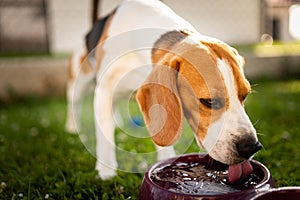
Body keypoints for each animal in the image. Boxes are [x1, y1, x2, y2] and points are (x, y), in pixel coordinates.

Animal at [64, 0, 262, 181]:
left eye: (244, 96)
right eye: (209, 101)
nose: (251, 146)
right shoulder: (104, 88)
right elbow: (104, 134)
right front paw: (106, 171)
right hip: (80, 80)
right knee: (75, 102)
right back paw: (72, 127)